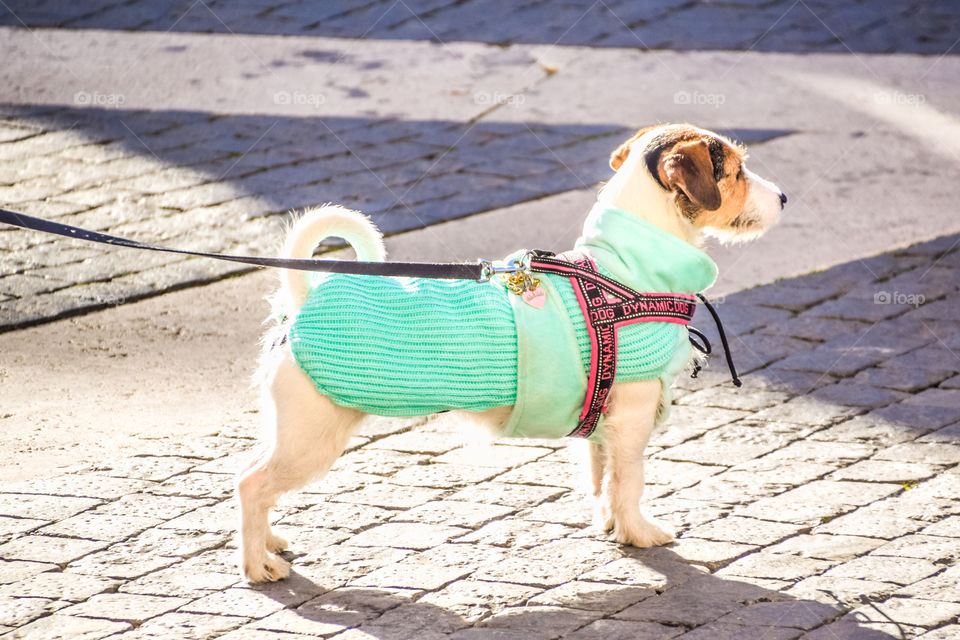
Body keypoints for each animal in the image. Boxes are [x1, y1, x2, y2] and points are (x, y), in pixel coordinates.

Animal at [236, 122, 784, 584]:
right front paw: (640, 533)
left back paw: (270, 542)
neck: (624, 274)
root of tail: (302, 303)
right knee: (251, 485)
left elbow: (601, 480)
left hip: (290, 433)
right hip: (310, 440)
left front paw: (611, 526)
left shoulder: (602, 425)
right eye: (736, 172)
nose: (783, 196)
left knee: (252, 476)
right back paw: (257, 566)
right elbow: (629, 482)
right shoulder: (632, 421)